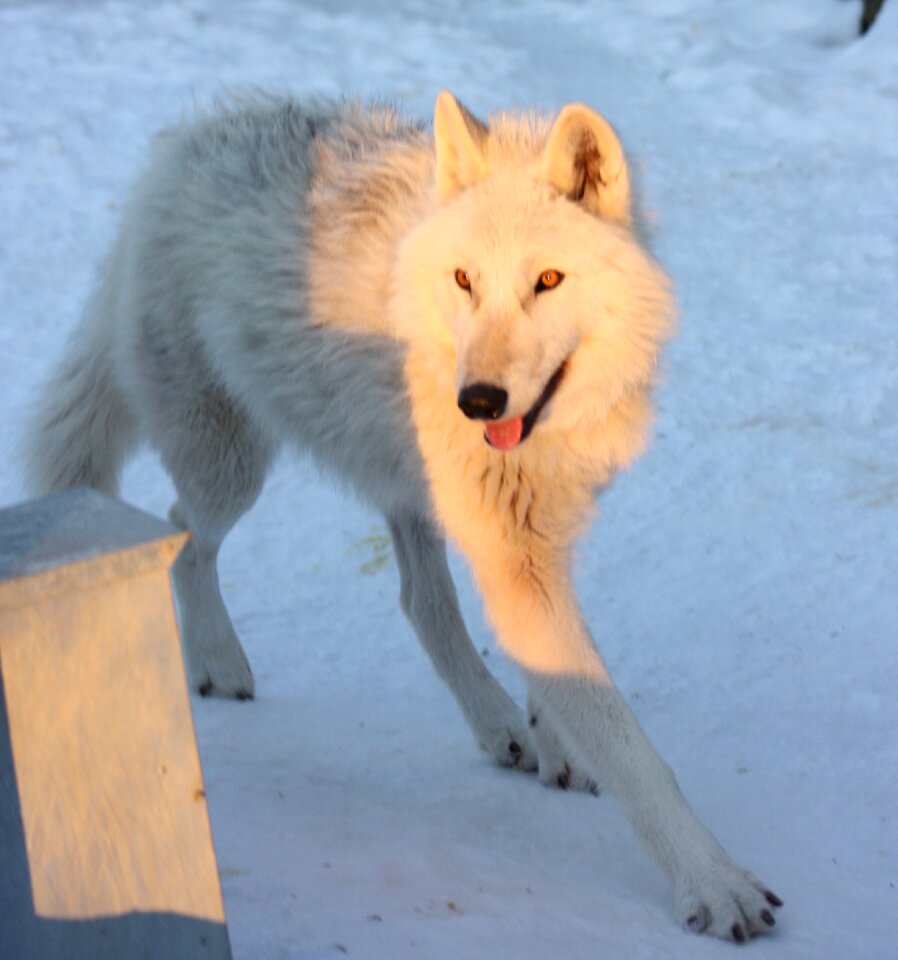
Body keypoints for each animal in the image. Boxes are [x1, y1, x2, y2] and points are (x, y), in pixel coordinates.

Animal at [26, 92, 776, 936]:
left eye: (548, 280)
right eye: (465, 280)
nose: (476, 400)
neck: (544, 433)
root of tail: (181, 142)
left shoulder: (530, 545)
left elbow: (552, 672)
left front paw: (557, 746)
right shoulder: (513, 552)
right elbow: (635, 753)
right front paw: (717, 886)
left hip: (397, 487)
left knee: (420, 602)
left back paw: (498, 728)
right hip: (232, 468)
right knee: (181, 531)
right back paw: (217, 663)